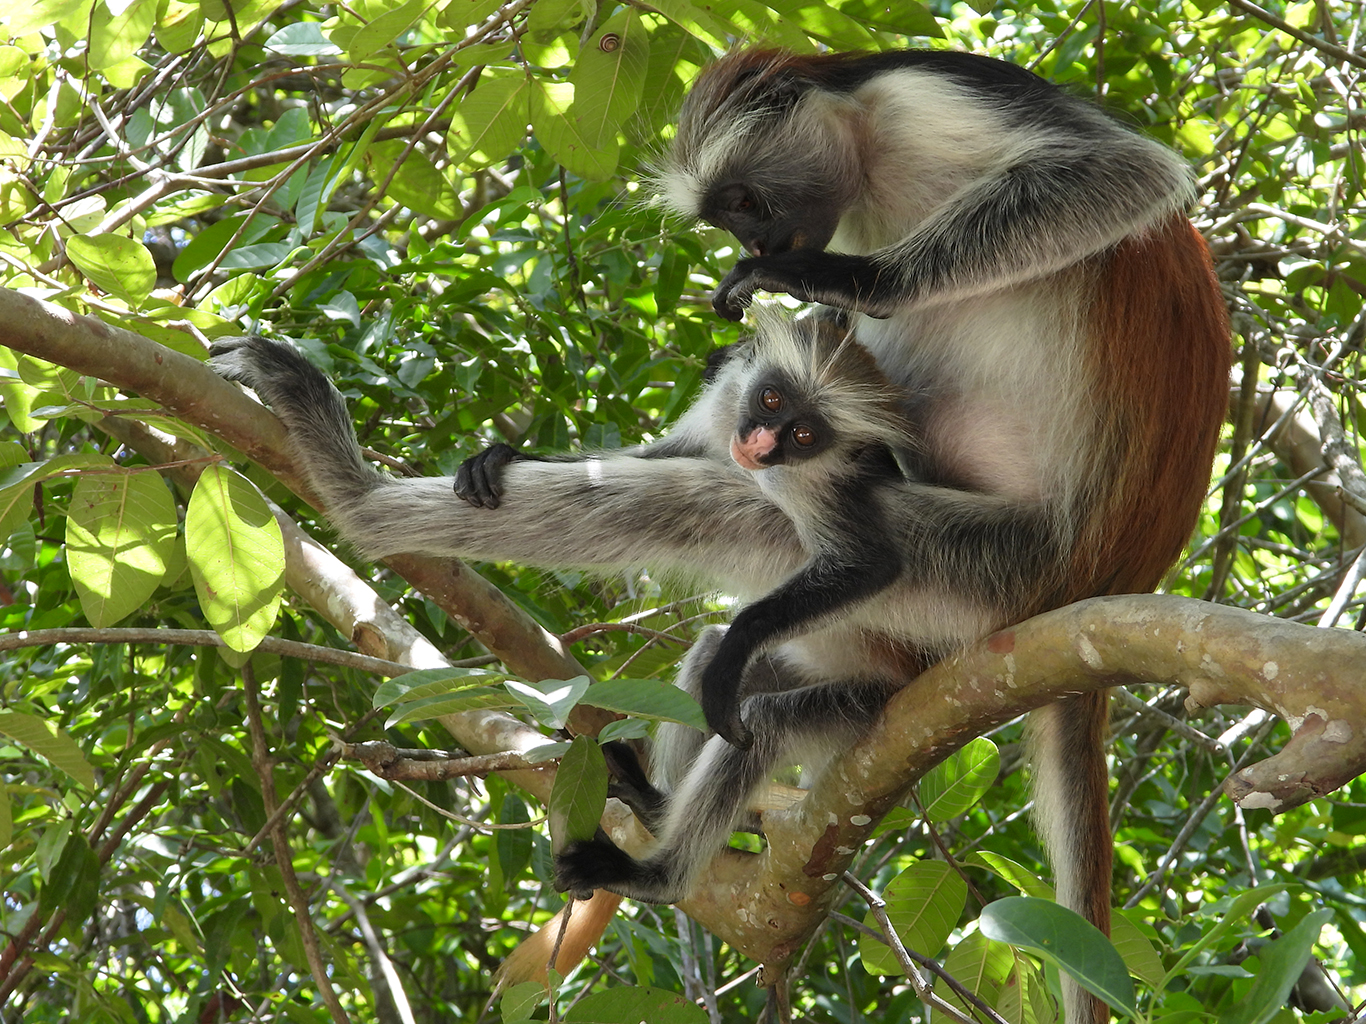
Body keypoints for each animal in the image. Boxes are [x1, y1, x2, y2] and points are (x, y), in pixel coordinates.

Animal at [655, 48, 1234, 1024]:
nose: (758, 249)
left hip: (1006, 560)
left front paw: (847, 280)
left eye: (743, 201)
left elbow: (1128, 172)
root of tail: (1103, 580)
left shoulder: (917, 95)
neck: (867, 151)